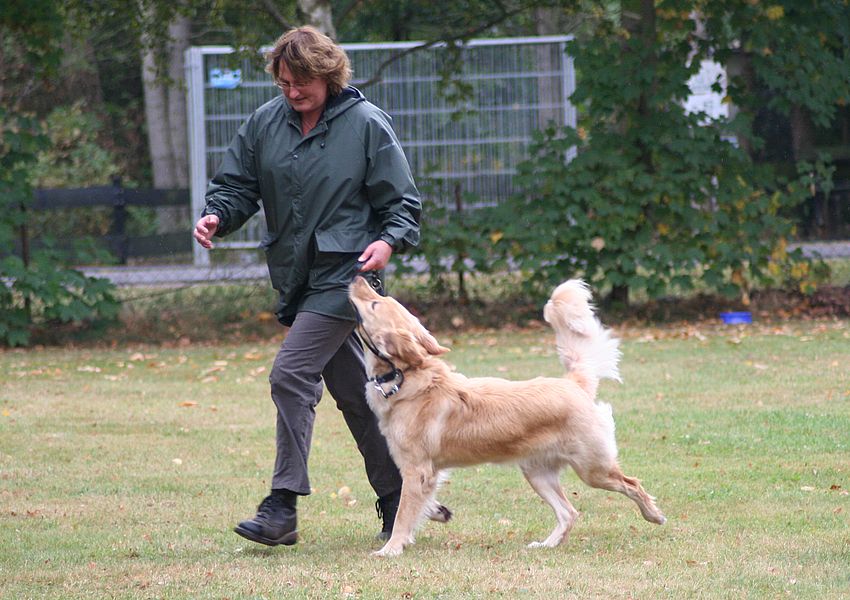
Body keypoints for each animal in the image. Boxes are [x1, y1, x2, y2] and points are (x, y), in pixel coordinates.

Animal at [349, 277, 665, 557]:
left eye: (375, 304)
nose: (358, 277)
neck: (405, 379)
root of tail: (573, 384)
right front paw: (430, 518)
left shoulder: (418, 471)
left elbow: (404, 515)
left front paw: (391, 549)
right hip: (537, 473)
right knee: (569, 512)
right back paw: (547, 545)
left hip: (593, 468)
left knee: (631, 484)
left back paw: (654, 515)